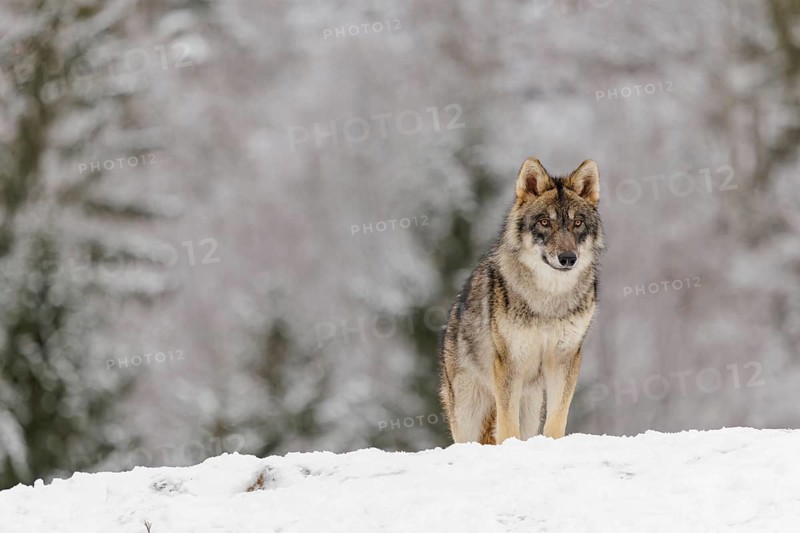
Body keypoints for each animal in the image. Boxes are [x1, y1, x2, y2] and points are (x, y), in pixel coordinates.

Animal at [439, 158, 604, 444]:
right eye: (544, 222)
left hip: (531, 407)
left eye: (578, 223)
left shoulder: (565, 358)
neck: (549, 300)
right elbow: (507, 425)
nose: (567, 258)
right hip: (467, 413)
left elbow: (557, 419)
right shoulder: (510, 362)